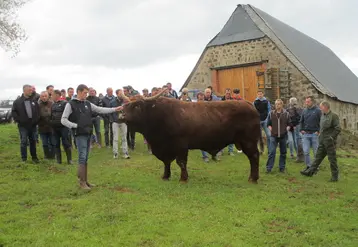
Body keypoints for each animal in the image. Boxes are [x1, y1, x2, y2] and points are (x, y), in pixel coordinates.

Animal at [119, 91, 264, 183]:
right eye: (125, 104)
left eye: (137, 106)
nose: (121, 115)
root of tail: (249, 105)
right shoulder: (165, 148)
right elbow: (166, 162)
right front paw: (165, 176)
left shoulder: (181, 145)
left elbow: (181, 162)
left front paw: (183, 179)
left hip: (248, 142)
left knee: (254, 157)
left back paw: (253, 179)